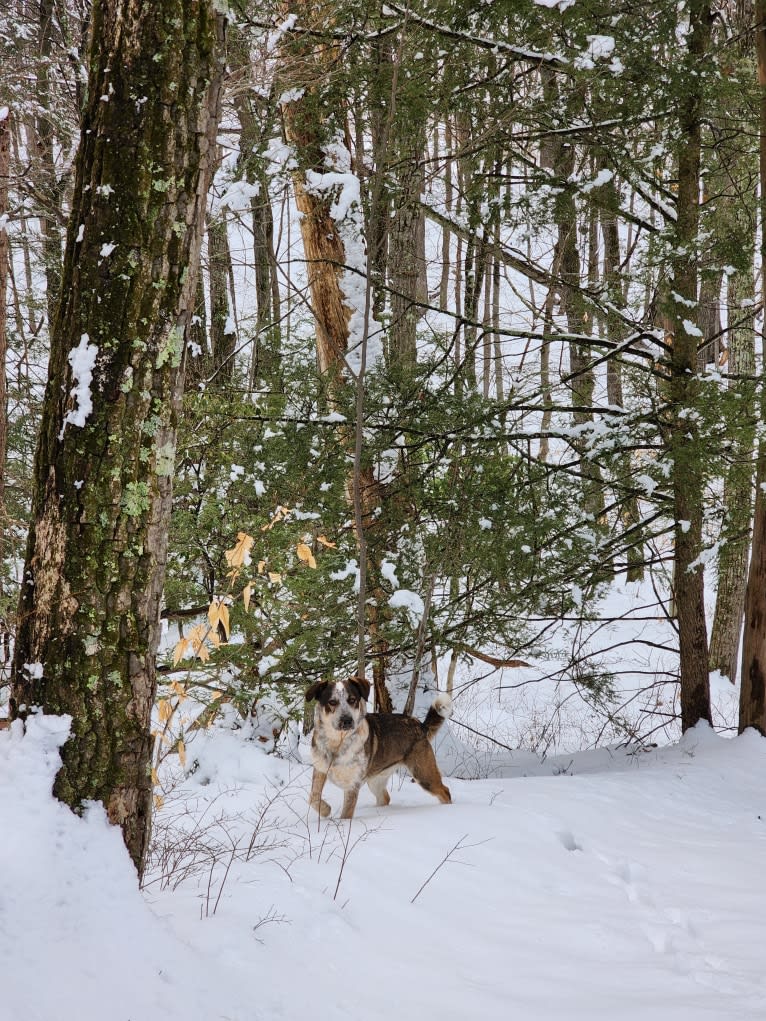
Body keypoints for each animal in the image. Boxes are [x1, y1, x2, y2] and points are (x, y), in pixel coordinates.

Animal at [302, 677, 453, 820]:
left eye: (352, 700)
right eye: (332, 702)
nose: (347, 721)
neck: (337, 743)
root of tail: (420, 725)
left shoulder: (352, 784)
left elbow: (346, 814)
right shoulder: (320, 770)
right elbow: (313, 797)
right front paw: (326, 810)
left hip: (423, 773)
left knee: (445, 791)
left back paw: (447, 810)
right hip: (376, 780)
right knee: (385, 798)